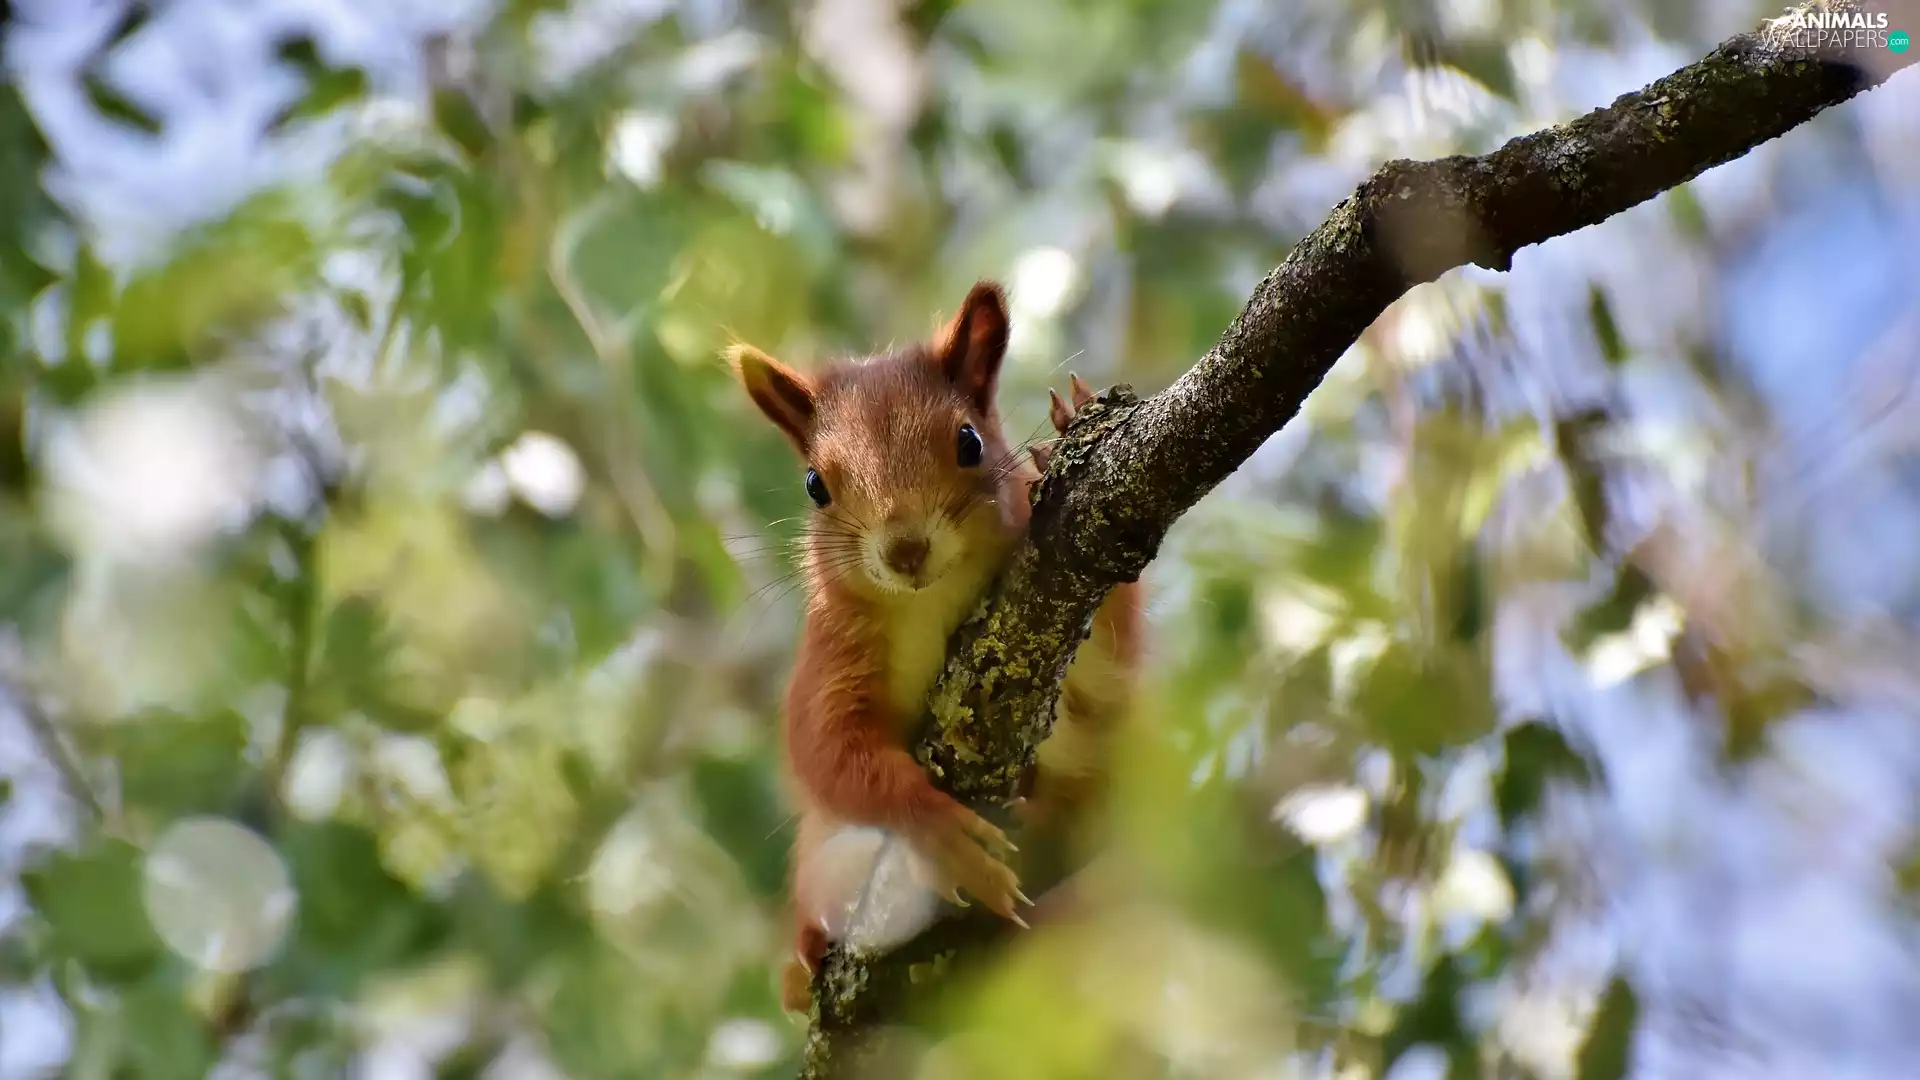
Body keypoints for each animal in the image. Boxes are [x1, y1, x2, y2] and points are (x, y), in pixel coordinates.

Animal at [729, 281, 1141, 1014]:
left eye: (969, 441)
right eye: (815, 484)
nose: (906, 549)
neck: (928, 601)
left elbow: (1106, 672)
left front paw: (1063, 439)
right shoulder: (830, 660)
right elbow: (830, 752)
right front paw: (939, 832)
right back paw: (803, 962)